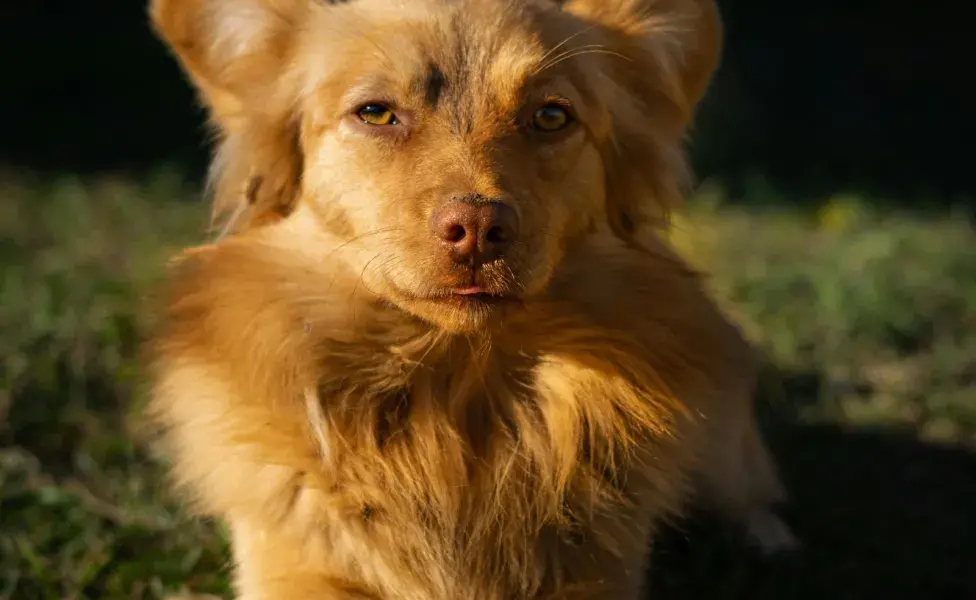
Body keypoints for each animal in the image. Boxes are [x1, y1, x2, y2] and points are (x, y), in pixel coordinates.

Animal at [149, 1, 796, 600]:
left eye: (551, 116)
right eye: (375, 113)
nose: (480, 228)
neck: (456, 384)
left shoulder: (600, 572)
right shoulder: (292, 566)